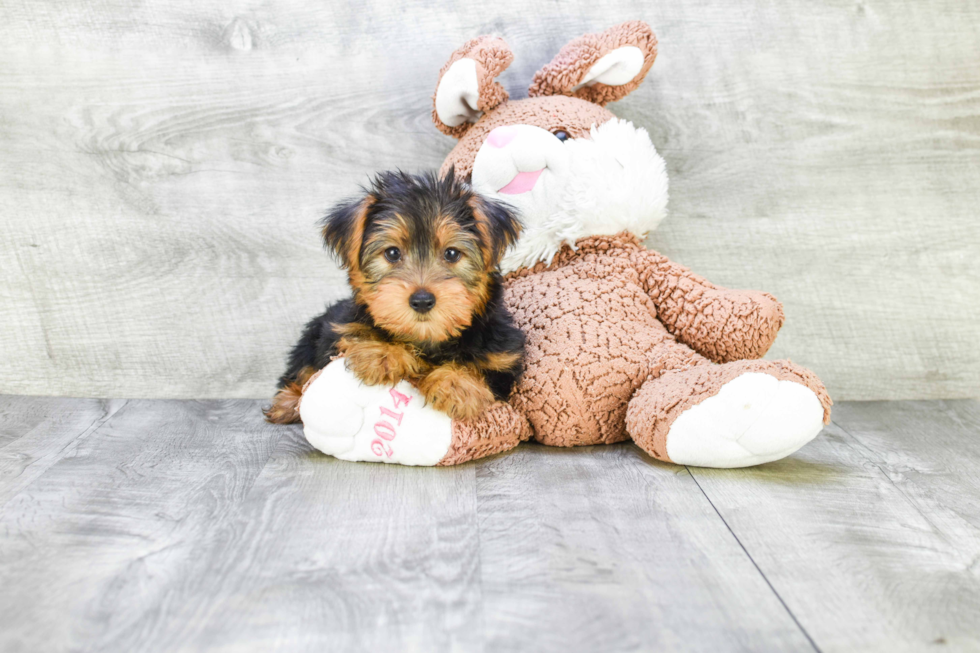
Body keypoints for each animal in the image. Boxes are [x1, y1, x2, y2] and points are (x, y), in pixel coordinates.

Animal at [260, 169, 520, 422]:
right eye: (392, 253)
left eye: (452, 254)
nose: (422, 300)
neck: (426, 339)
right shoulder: (339, 328)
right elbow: (360, 333)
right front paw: (383, 352)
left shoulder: (503, 358)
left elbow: (486, 371)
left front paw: (457, 383)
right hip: (311, 336)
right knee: (302, 369)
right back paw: (288, 403)